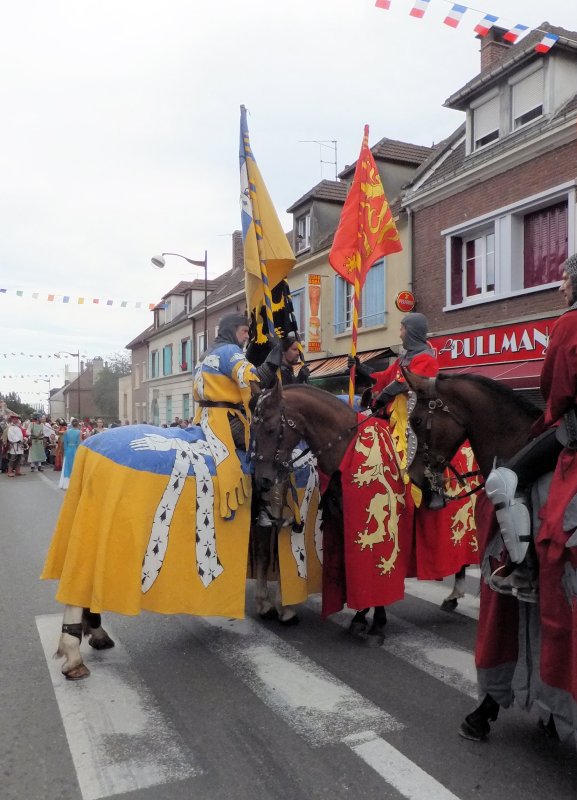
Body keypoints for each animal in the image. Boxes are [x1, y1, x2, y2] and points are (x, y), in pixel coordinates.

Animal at [250, 380, 474, 644]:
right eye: (253, 428)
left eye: (271, 428)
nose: (262, 480)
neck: (347, 449)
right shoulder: (342, 521)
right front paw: (359, 617)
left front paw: (377, 622)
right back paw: (455, 595)